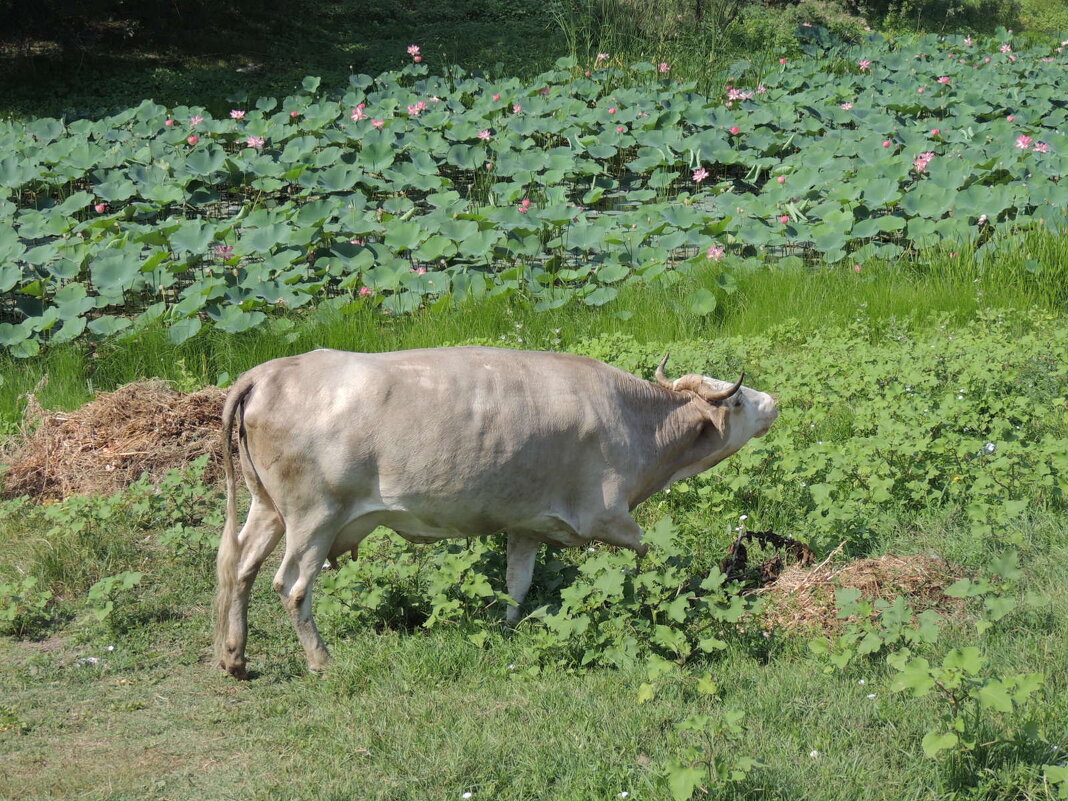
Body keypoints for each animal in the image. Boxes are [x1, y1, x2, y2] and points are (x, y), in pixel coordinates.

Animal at [212, 346, 777, 679]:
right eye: (739, 400)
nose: (773, 401)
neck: (637, 423)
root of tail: (268, 371)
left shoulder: (527, 523)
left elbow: (517, 582)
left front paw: (508, 628)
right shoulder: (607, 516)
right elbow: (657, 557)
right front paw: (687, 593)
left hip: (268, 509)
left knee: (237, 569)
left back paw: (234, 658)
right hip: (314, 517)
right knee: (291, 586)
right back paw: (321, 659)